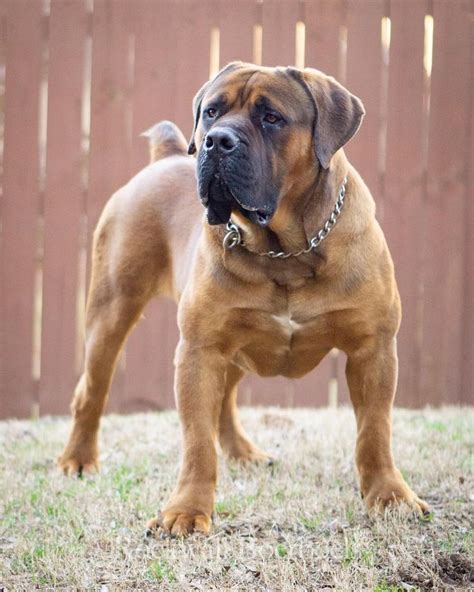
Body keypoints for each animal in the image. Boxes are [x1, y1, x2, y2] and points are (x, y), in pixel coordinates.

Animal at [60, 61, 430, 536]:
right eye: (211, 112)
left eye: (271, 117)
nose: (217, 141)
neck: (286, 250)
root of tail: (165, 158)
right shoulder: (199, 350)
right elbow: (197, 441)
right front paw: (187, 510)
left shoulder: (374, 349)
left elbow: (375, 430)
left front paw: (390, 497)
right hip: (112, 314)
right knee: (92, 391)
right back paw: (78, 460)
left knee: (225, 401)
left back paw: (243, 453)